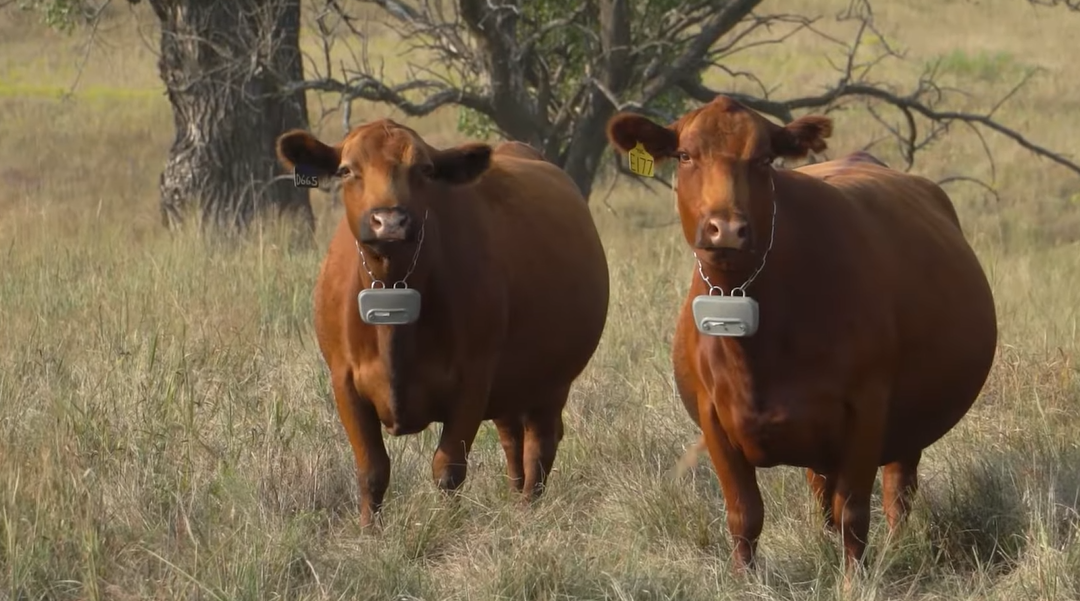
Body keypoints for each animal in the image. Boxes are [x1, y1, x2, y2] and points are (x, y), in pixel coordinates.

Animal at [276, 119, 609, 523]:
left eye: (425, 170)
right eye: (346, 170)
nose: (390, 220)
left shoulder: (473, 381)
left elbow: (448, 468)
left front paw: (446, 523)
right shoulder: (345, 382)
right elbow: (372, 469)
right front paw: (369, 530)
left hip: (552, 379)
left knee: (539, 444)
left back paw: (527, 509)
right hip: (512, 384)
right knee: (512, 438)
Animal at [609, 97, 993, 570]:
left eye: (764, 159)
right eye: (684, 155)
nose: (726, 228)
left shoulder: (867, 409)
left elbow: (853, 514)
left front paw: (854, 580)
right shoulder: (712, 416)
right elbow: (744, 515)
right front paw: (744, 579)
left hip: (909, 416)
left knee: (896, 489)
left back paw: (897, 546)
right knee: (823, 491)